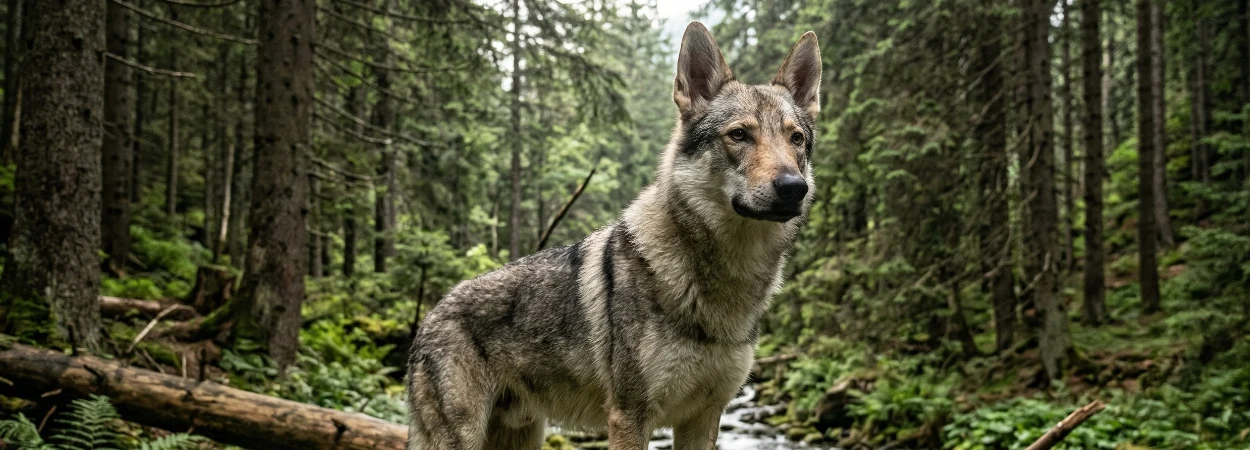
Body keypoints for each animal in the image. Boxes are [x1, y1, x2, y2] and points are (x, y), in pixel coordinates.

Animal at [406, 22, 821, 450]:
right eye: (739, 135)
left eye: (795, 139)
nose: (794, 187)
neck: (724, 280)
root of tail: (430, 315)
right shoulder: (629, 416)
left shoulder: (705, 417)